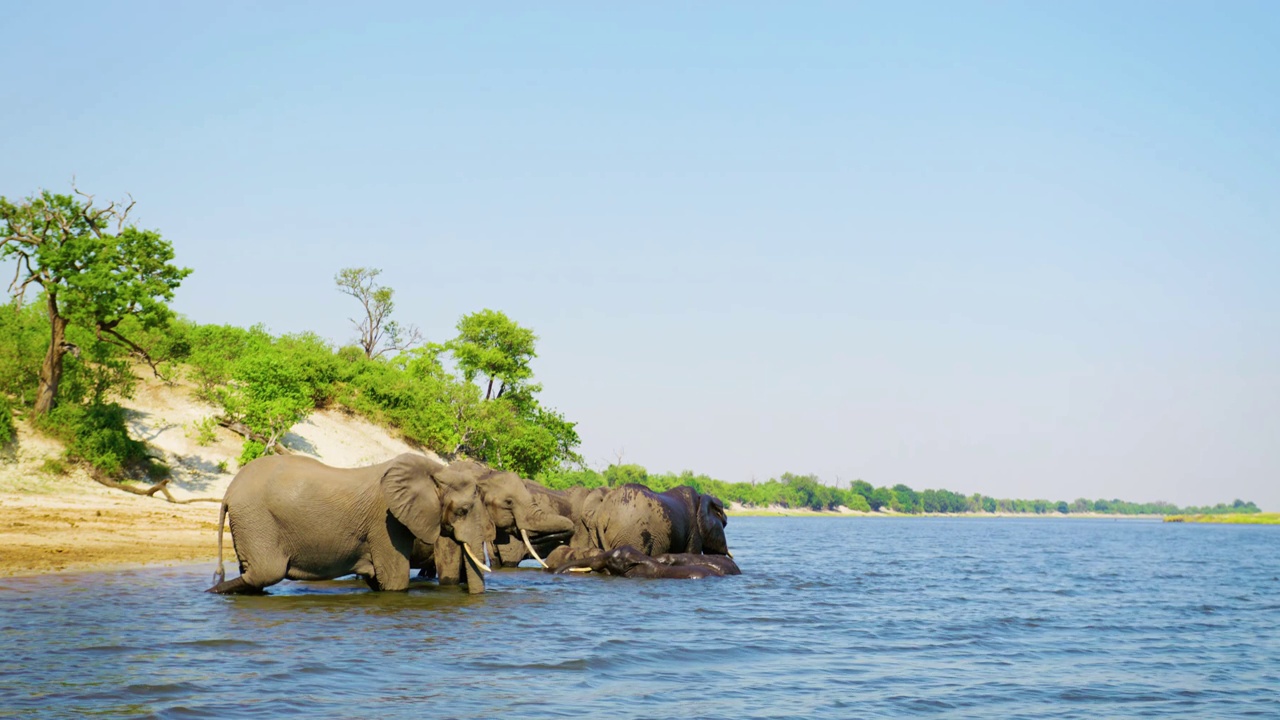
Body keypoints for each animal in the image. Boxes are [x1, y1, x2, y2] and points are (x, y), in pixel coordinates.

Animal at [209, 450, 494, 591]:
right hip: (257, 520)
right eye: (463, 511)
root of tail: (229, 492)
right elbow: (395, 581)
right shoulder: (387, 522)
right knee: (265, 574)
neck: (436, 471)